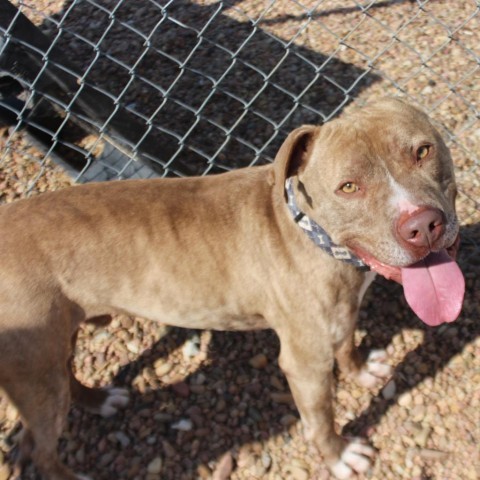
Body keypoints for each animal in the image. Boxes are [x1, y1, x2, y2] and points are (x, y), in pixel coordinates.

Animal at [0, 96, 464, 476]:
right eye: (349, 187)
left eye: (422, 151)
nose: (422, 226)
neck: (311, 230)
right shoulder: (305, 362)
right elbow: (321, 420)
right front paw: (339, 456)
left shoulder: (342, 313)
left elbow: (347, 346)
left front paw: (362, 370)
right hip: (37, 374)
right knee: (38, 451)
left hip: (53, 344)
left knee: (65, 376)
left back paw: (100, 401)